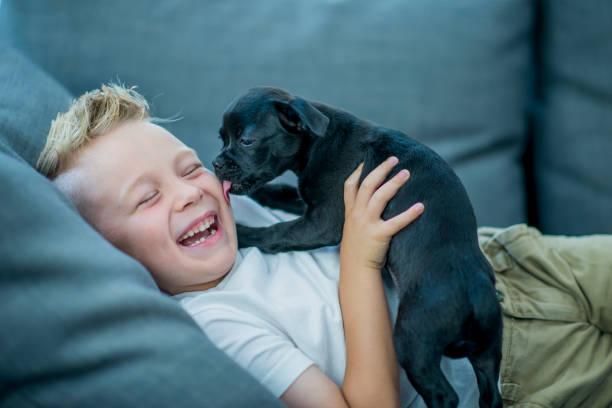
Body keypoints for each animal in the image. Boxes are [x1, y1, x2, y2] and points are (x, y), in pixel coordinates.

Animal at [214, 87, 502, 408]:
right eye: (221, 138)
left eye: (246, 141)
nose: (215, 164)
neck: (317, 140)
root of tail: (474, 294)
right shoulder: (310, 205)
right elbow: (282, 192)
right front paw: (257, 195)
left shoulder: (323, 221)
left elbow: (277, 233)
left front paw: (240, 232)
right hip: (488, 352)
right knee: (490, 395)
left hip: (414, 342)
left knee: (445, 395)